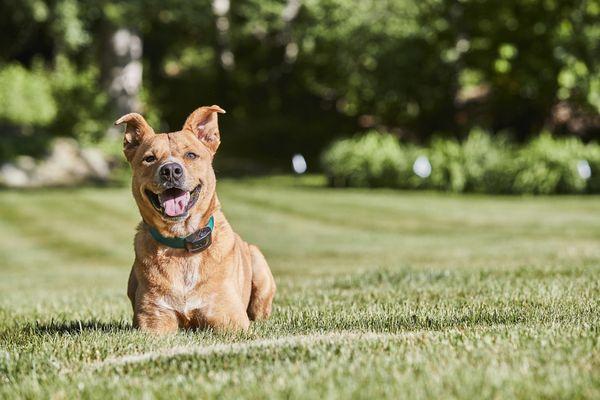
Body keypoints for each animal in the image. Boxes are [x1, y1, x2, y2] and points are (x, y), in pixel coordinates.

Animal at [115, 104, 276, 332]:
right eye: (149, 158)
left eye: (191, 155)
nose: (170, 170)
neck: (182, 243)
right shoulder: (153, 319)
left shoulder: (229, 317)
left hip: (258, 264)